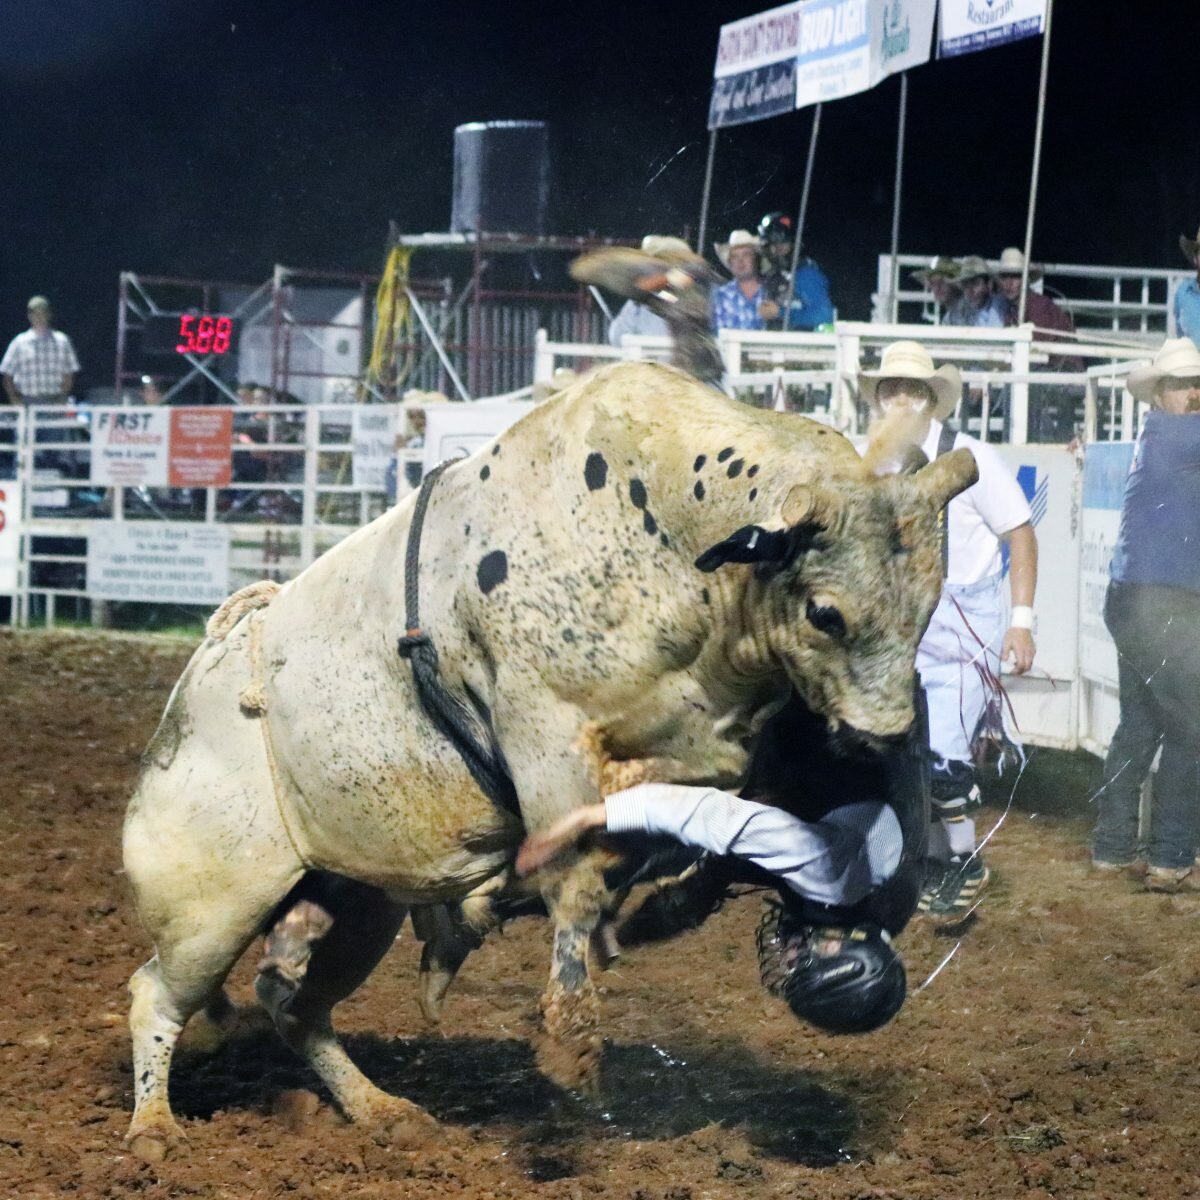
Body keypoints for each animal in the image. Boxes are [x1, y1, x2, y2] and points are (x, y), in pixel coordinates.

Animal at [121, 350, 974, 1156]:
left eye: (928, 607)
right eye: (826, 612)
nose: (880, 732)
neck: (668, 535)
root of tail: (205, 671)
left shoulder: (712, 739)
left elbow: (681, 808)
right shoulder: (543, 728)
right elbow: (577, 878)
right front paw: (570, 1040)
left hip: (358, 904)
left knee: (300, 1011)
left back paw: (383, 1108)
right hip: (209, 906)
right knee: (156, 993)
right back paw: (154, 1130)